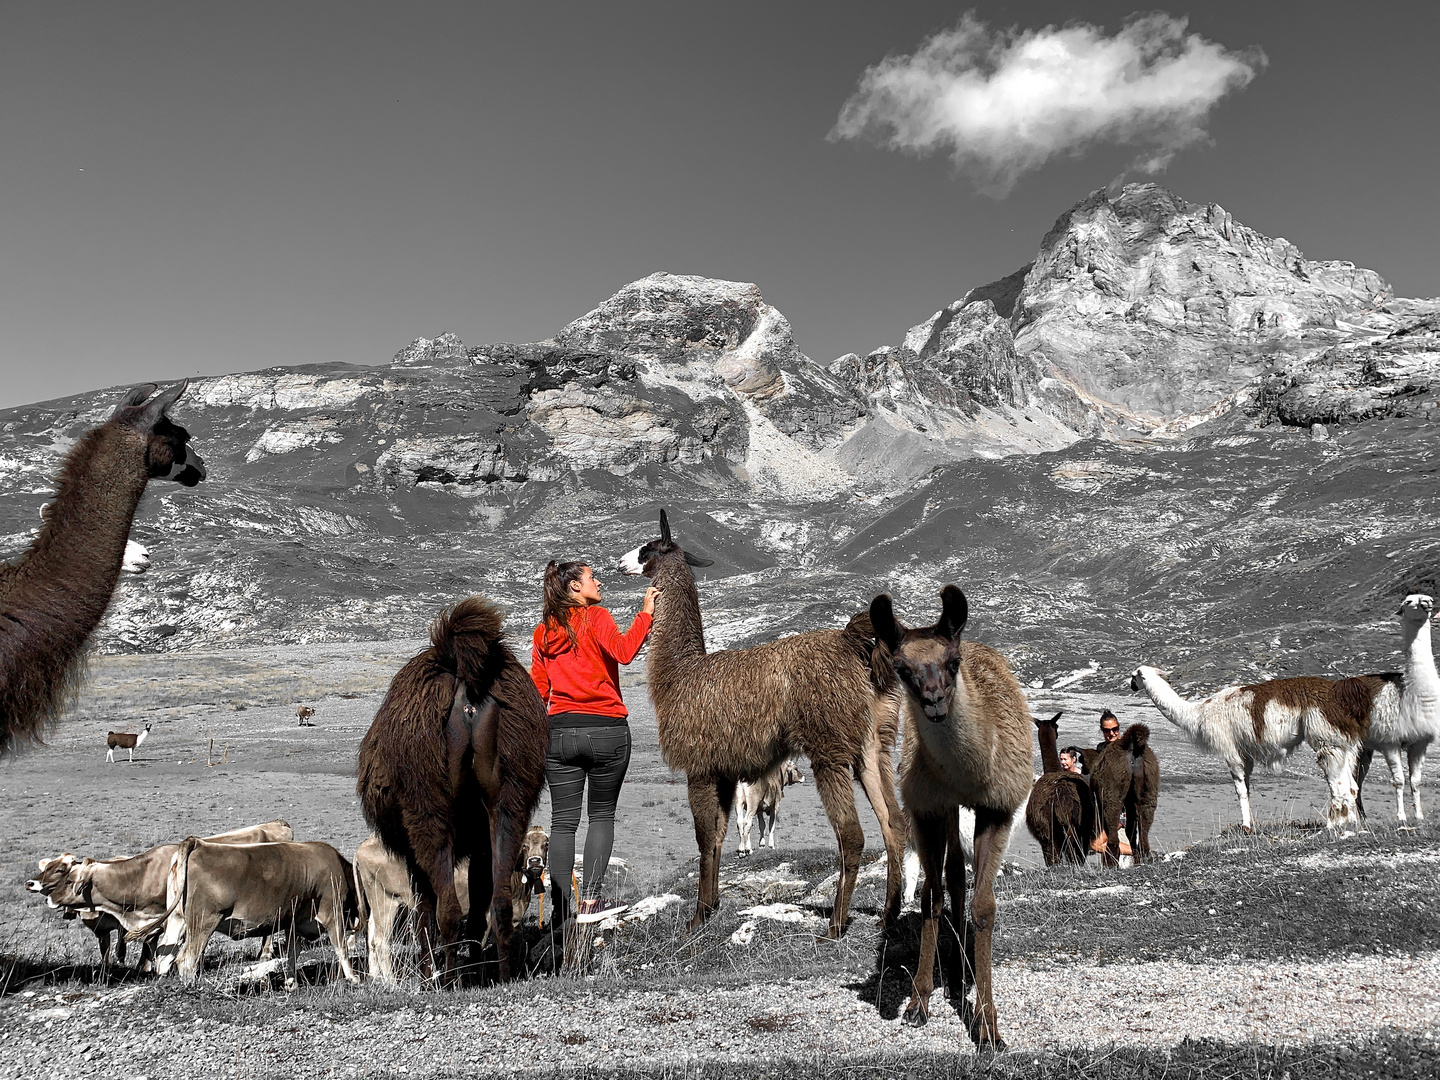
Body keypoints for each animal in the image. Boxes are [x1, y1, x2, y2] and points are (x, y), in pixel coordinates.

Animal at [26, 817, 293, 979]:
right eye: (47, 866)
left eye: (62, 871)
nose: (31, 883)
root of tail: (278, 824)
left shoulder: (162, 919)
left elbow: (154, 945)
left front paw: (146, 967)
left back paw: (265, 953)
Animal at [134, 840, 360, 996]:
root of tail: (199, 843)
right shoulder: (332, 912)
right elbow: (341, 947)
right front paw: (353, 977)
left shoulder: (293, 922)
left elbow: (292, 953)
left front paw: (291, 984)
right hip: (204, 921)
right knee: (186, 957)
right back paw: (194, 987)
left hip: (177, 920)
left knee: (165, 954)